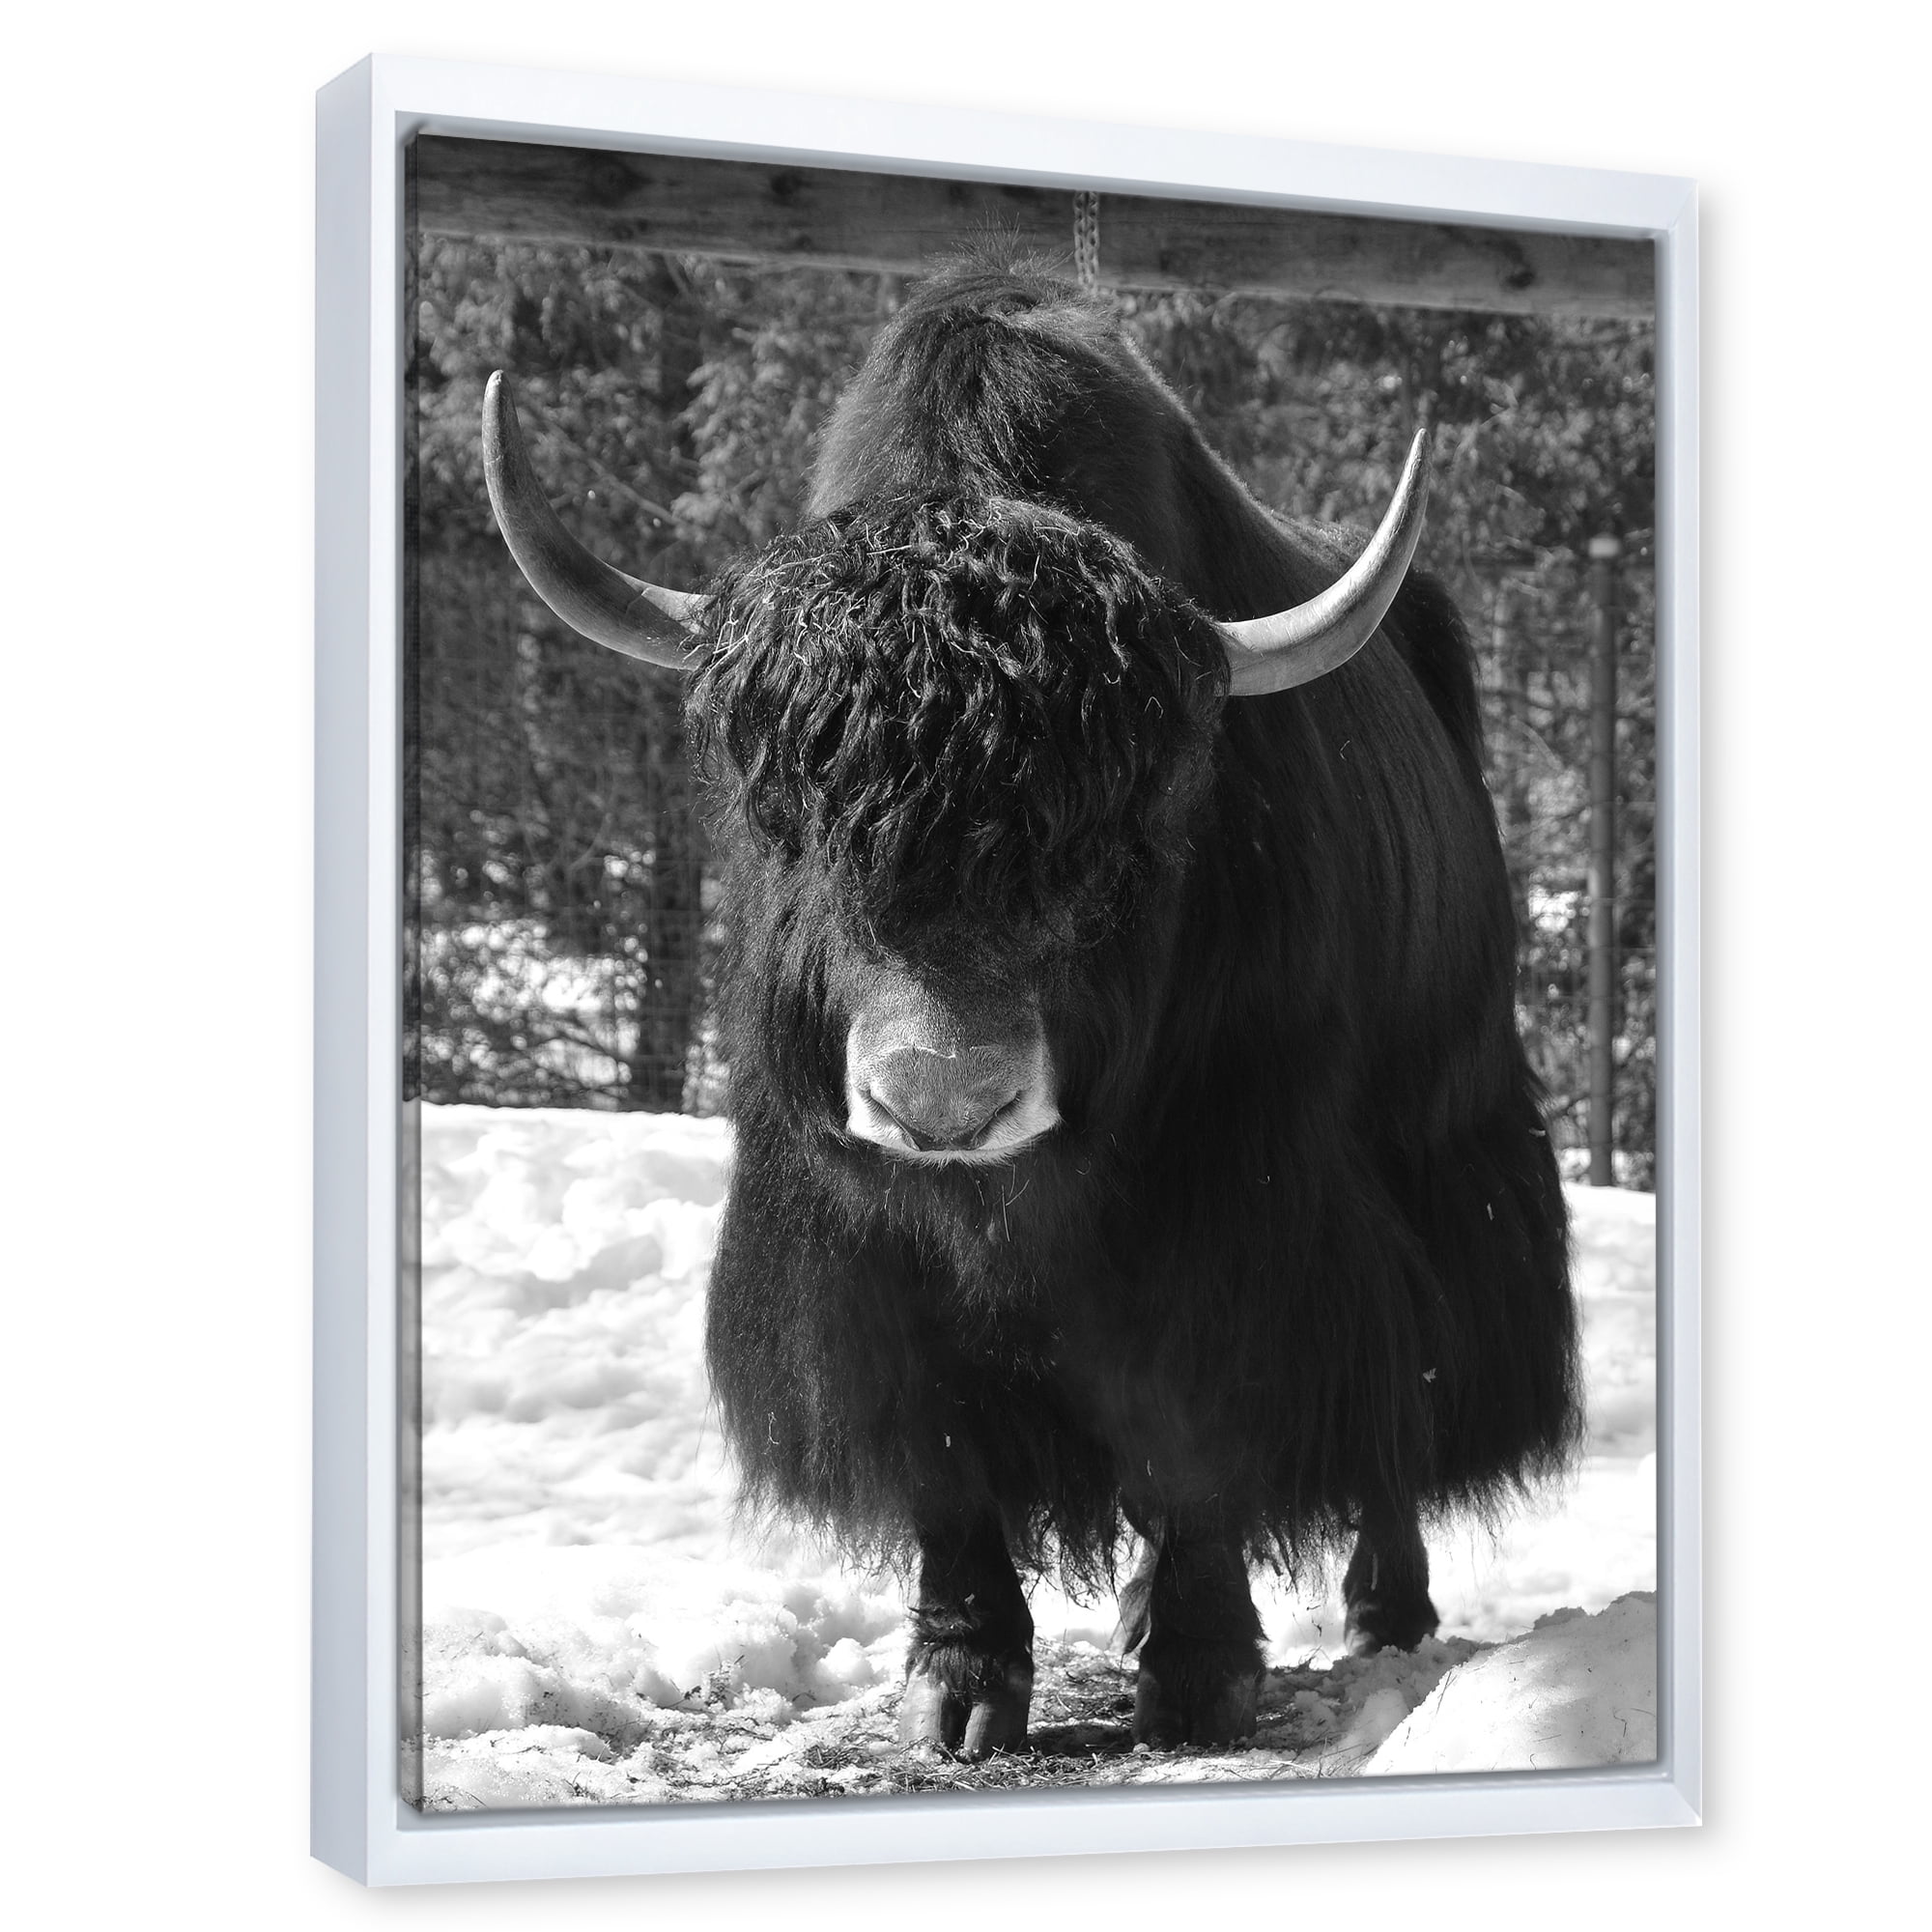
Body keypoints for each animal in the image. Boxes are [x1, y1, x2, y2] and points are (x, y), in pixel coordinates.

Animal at [481, 261, 1581, 1758]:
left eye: (1127, 832)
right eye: (789, 817)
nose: (943, 1099)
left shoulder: (1234, 1208)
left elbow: (1197, 1418)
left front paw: (1199, 1676)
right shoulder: (851, 1241)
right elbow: (938, 1442)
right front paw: (957, 1684)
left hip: (1443, 1151)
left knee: (1399, 1399)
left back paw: (1383, 1614)